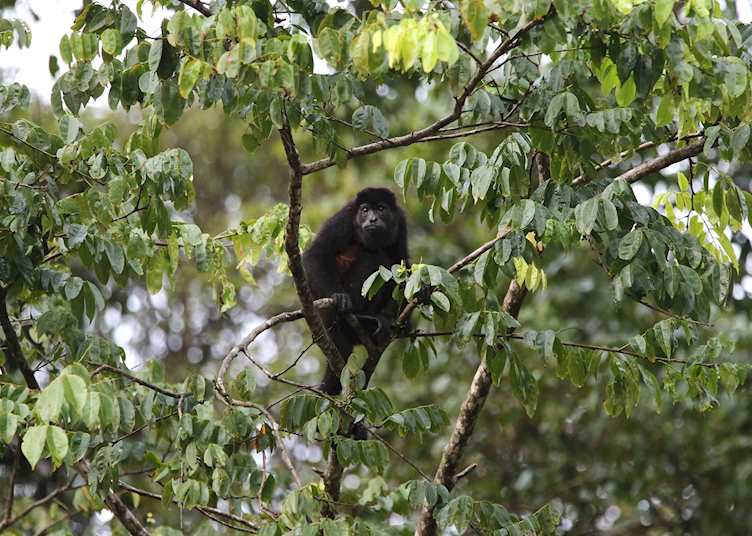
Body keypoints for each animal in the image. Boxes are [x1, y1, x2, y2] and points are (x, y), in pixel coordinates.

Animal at [302, 187, 409, 395]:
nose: (372, 219)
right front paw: (339, 298)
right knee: (373, 257)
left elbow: (403, 263)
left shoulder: (401, 223)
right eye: (365, 210)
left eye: (381, 208)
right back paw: (360, 317)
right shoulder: (344, 217)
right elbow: (316, 254)